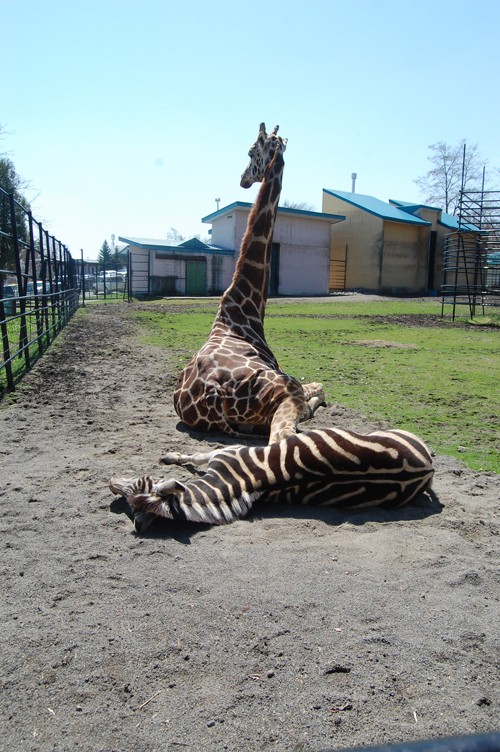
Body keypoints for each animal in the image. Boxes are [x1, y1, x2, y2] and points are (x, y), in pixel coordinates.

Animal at [109, 428, 434, 536]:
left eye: (140, 482)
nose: (110, 480)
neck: (234, 482)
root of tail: (428, 469)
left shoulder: (225, 451)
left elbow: (196, 455)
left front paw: (170, 456)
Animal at [174, 122, 326, 440]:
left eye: (249, 152)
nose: (243, 179)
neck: (246, 309)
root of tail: (212, 398)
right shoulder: (291, 380)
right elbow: (320, 385)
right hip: (285, 392)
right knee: (284, 434)